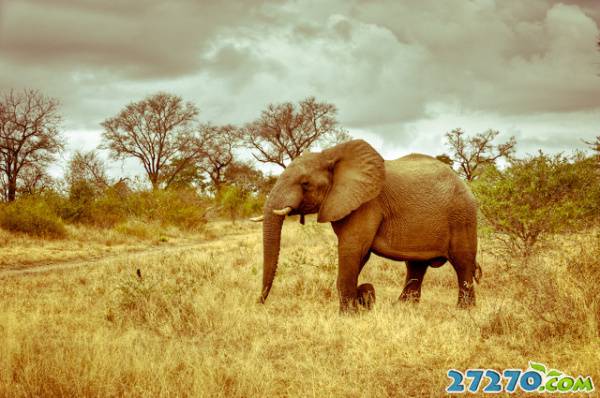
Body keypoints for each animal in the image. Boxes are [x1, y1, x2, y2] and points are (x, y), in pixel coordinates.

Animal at [255, 138, 480, 312]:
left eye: (305, 184)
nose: (259, 302)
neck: (330, 155)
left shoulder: (367, 203)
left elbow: (352, 249)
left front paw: (348, 314)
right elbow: (359, 255)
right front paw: (361, 299)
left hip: (462, 216)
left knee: (462, 262)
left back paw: (464, 310)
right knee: (416, 265)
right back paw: (403, 308)